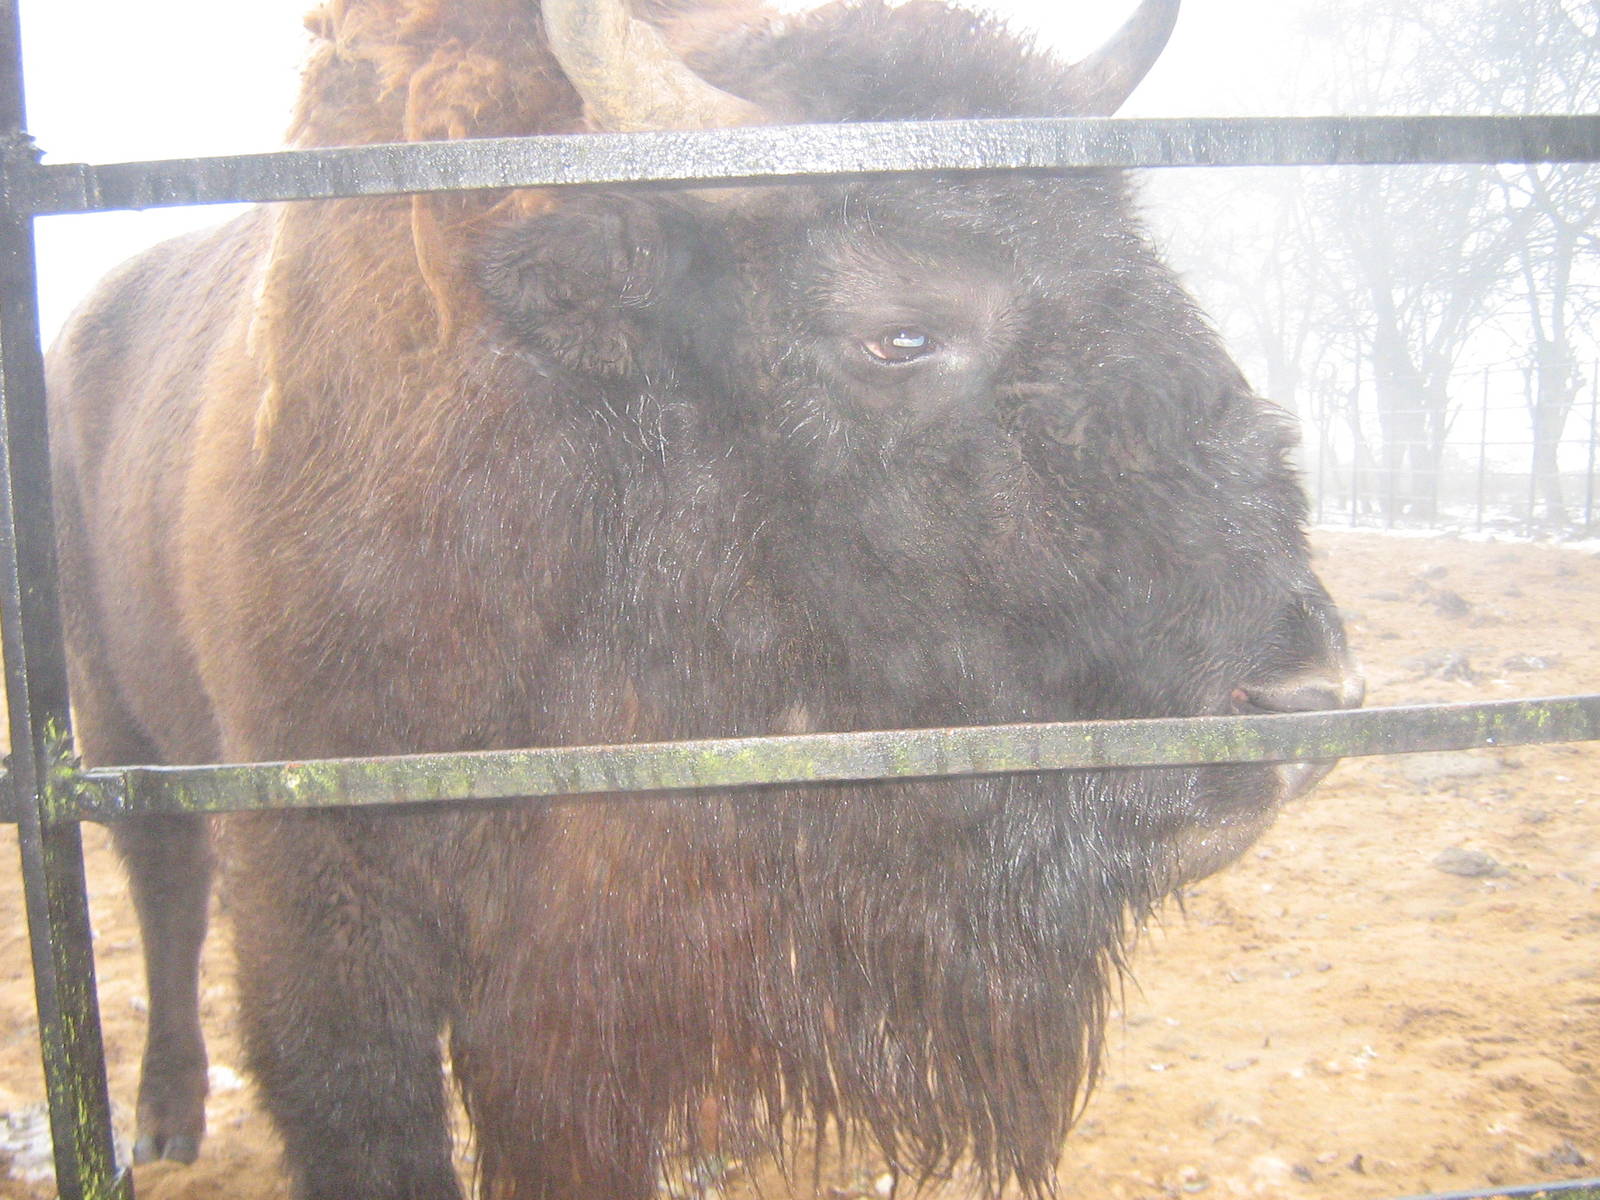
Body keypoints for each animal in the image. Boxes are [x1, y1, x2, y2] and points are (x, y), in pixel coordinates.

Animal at [47, 0, 1361, 1197]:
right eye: (899, 332)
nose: (1310, 696)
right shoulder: (324, 908)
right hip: (114, 722)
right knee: (164, 883)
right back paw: (163, 1121)